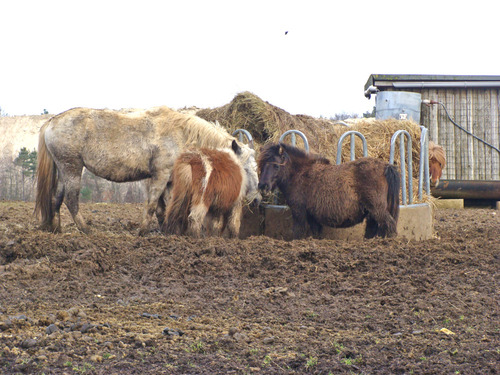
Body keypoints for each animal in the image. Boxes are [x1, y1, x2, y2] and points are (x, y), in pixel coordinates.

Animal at [258, 142, 402, 239]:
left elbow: (298, 233)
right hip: (372, 213)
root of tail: (385, 166)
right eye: (261, 165)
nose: (262, 186)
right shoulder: (312, 217)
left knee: (390, 225)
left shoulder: (299, 212)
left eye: (276, 166)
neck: (300, 173)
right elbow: (315, 234)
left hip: (377, 209)